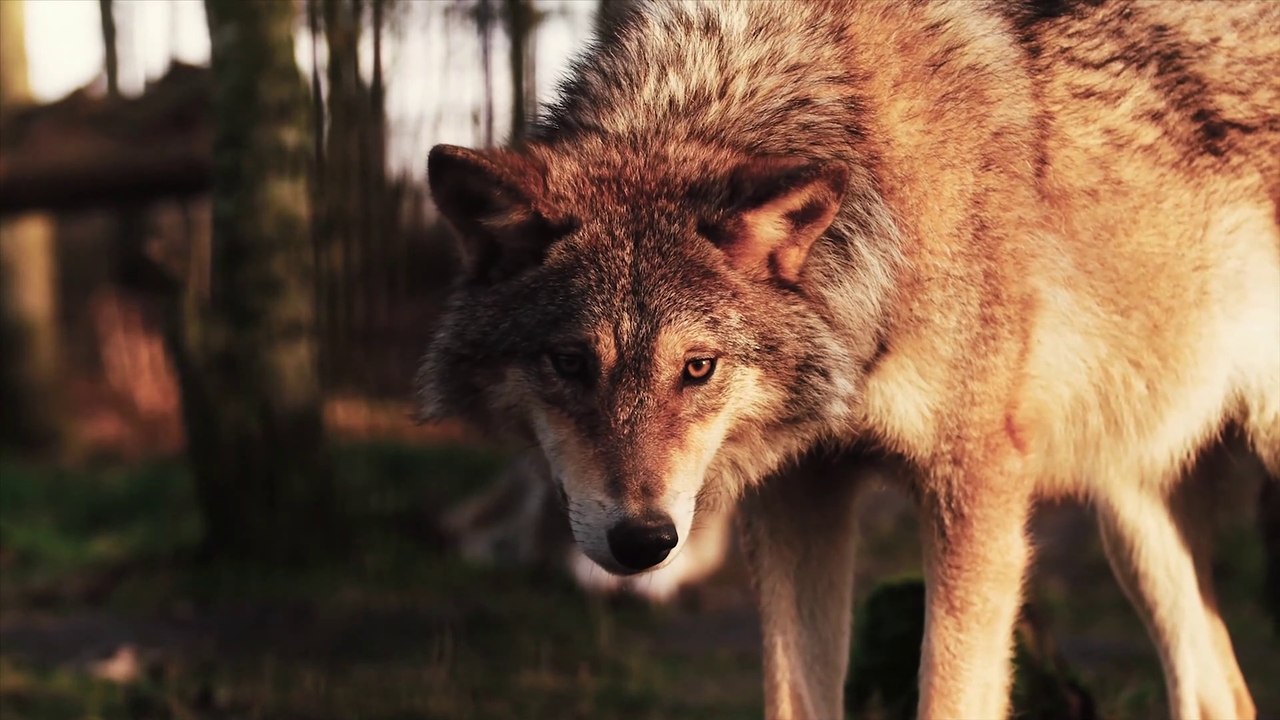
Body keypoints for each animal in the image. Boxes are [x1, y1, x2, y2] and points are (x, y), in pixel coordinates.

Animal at [418, 1, 1280, 717]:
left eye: (698, 367)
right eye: (569, 362)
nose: (642, 543)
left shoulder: (976, 490)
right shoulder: (798, 494)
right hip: (1133, 519)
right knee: (1223, 696)